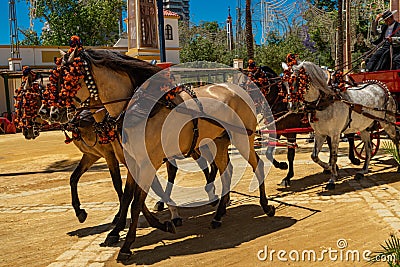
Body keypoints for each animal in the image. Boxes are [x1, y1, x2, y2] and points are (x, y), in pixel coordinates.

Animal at [282, 61, 398, 191]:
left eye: (297, 80)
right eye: (284, 83)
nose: (292, 107)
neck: (326, 100)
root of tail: (381, 86)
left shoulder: (335, 134)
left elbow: (333, 156)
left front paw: (332, 179)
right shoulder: (320, 133)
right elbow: (314, 156)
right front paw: (329, 168)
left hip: (388, 122)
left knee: (396, 139)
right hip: (363, 128)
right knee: (368, 148)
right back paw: (363, 170)